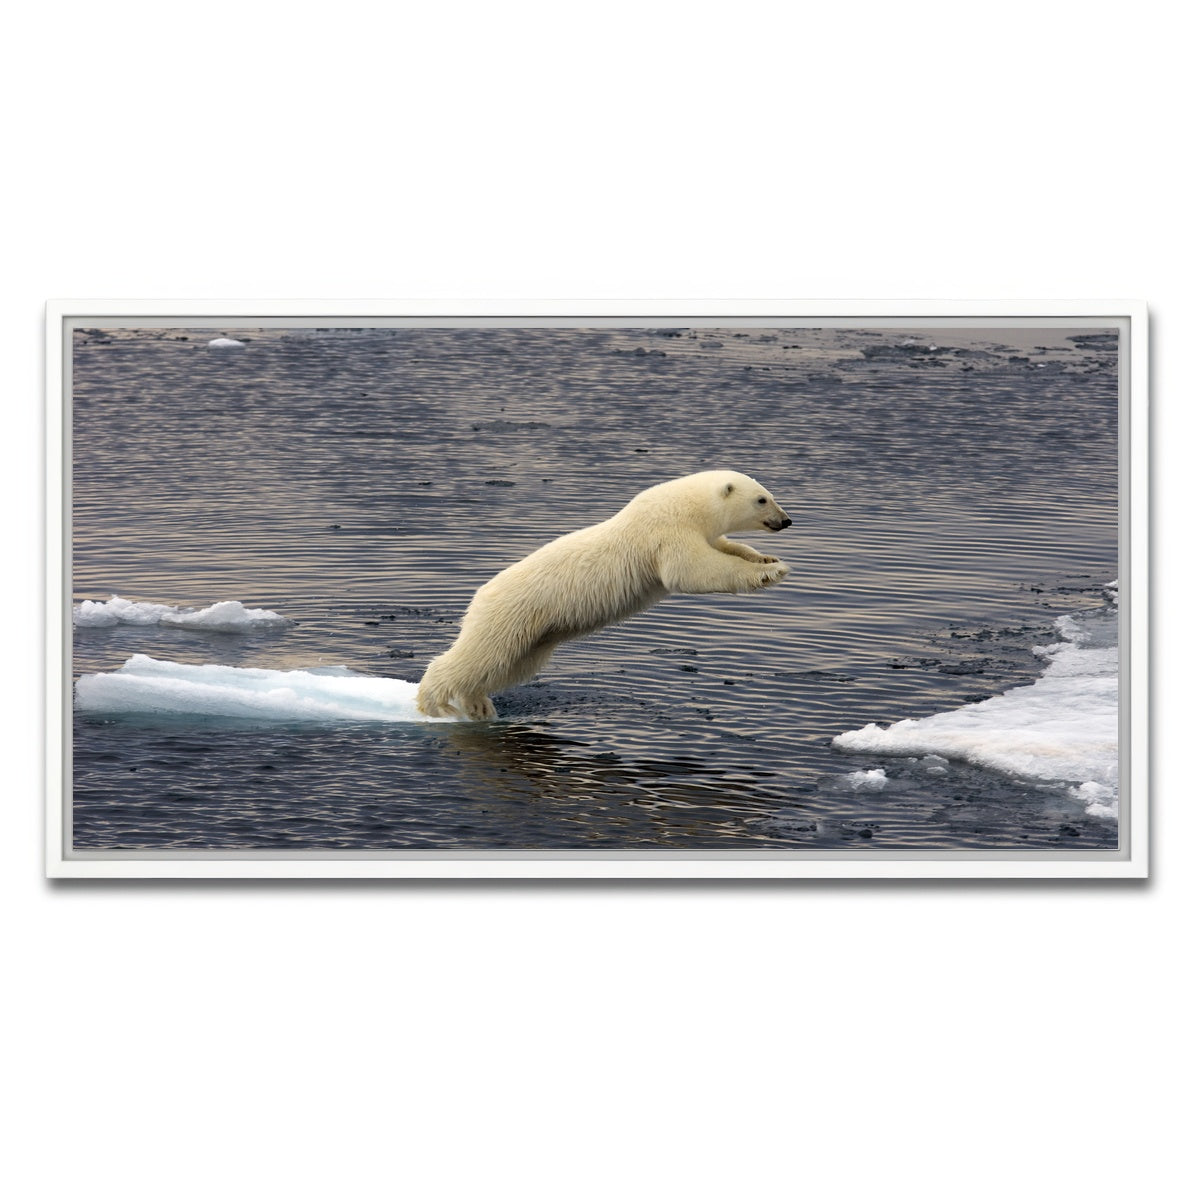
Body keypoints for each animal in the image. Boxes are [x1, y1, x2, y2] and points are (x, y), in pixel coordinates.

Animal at [415, 470, 792, 720]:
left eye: (771, 493)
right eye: (762, 499)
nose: (786, 520)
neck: (686, 504)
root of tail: (480, 595)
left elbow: (726, 547)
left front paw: (767, 559)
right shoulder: (666, 533)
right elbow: (693, 570)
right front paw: (768, 572)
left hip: (535, 635)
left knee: (507, 666)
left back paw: (477, 704)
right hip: (512, 614)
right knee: (479, 656)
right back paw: (434, 703)